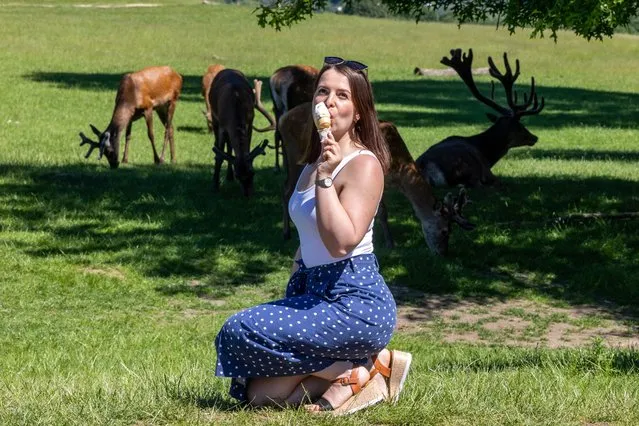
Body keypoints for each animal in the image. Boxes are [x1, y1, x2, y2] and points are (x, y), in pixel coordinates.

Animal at [210, 68, 278, 198]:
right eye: (238, 175)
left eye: (253, 172)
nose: (248, 194)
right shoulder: (222, 126)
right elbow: (219, 155)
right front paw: (215, 186)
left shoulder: (249, 123)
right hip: (214, 117)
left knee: (230, 146)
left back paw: (229, 176)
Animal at [280, 102, 476, 256]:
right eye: (445, 231)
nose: (443, 254)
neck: (397, 166)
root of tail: (282, 119)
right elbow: (381, 211)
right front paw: (390, 244)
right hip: (294, 152)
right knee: (287, 190)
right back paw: (286, 233)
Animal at [418, 48, 548, 186]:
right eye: (520, 126)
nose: (534, 137)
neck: (487, 155)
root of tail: (426, 168)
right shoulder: (487, 171)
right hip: (469, 168)